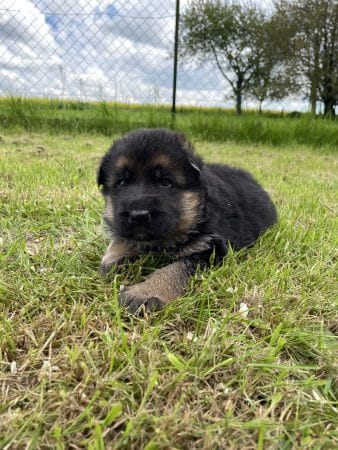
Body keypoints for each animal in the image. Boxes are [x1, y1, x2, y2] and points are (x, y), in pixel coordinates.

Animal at [97, 128, 278, 312]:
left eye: (165, 182)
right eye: (121, 183)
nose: (138, 215)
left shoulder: (210, 248)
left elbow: (175, 269)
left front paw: (144, 292)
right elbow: (121, 242)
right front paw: (112, 259)